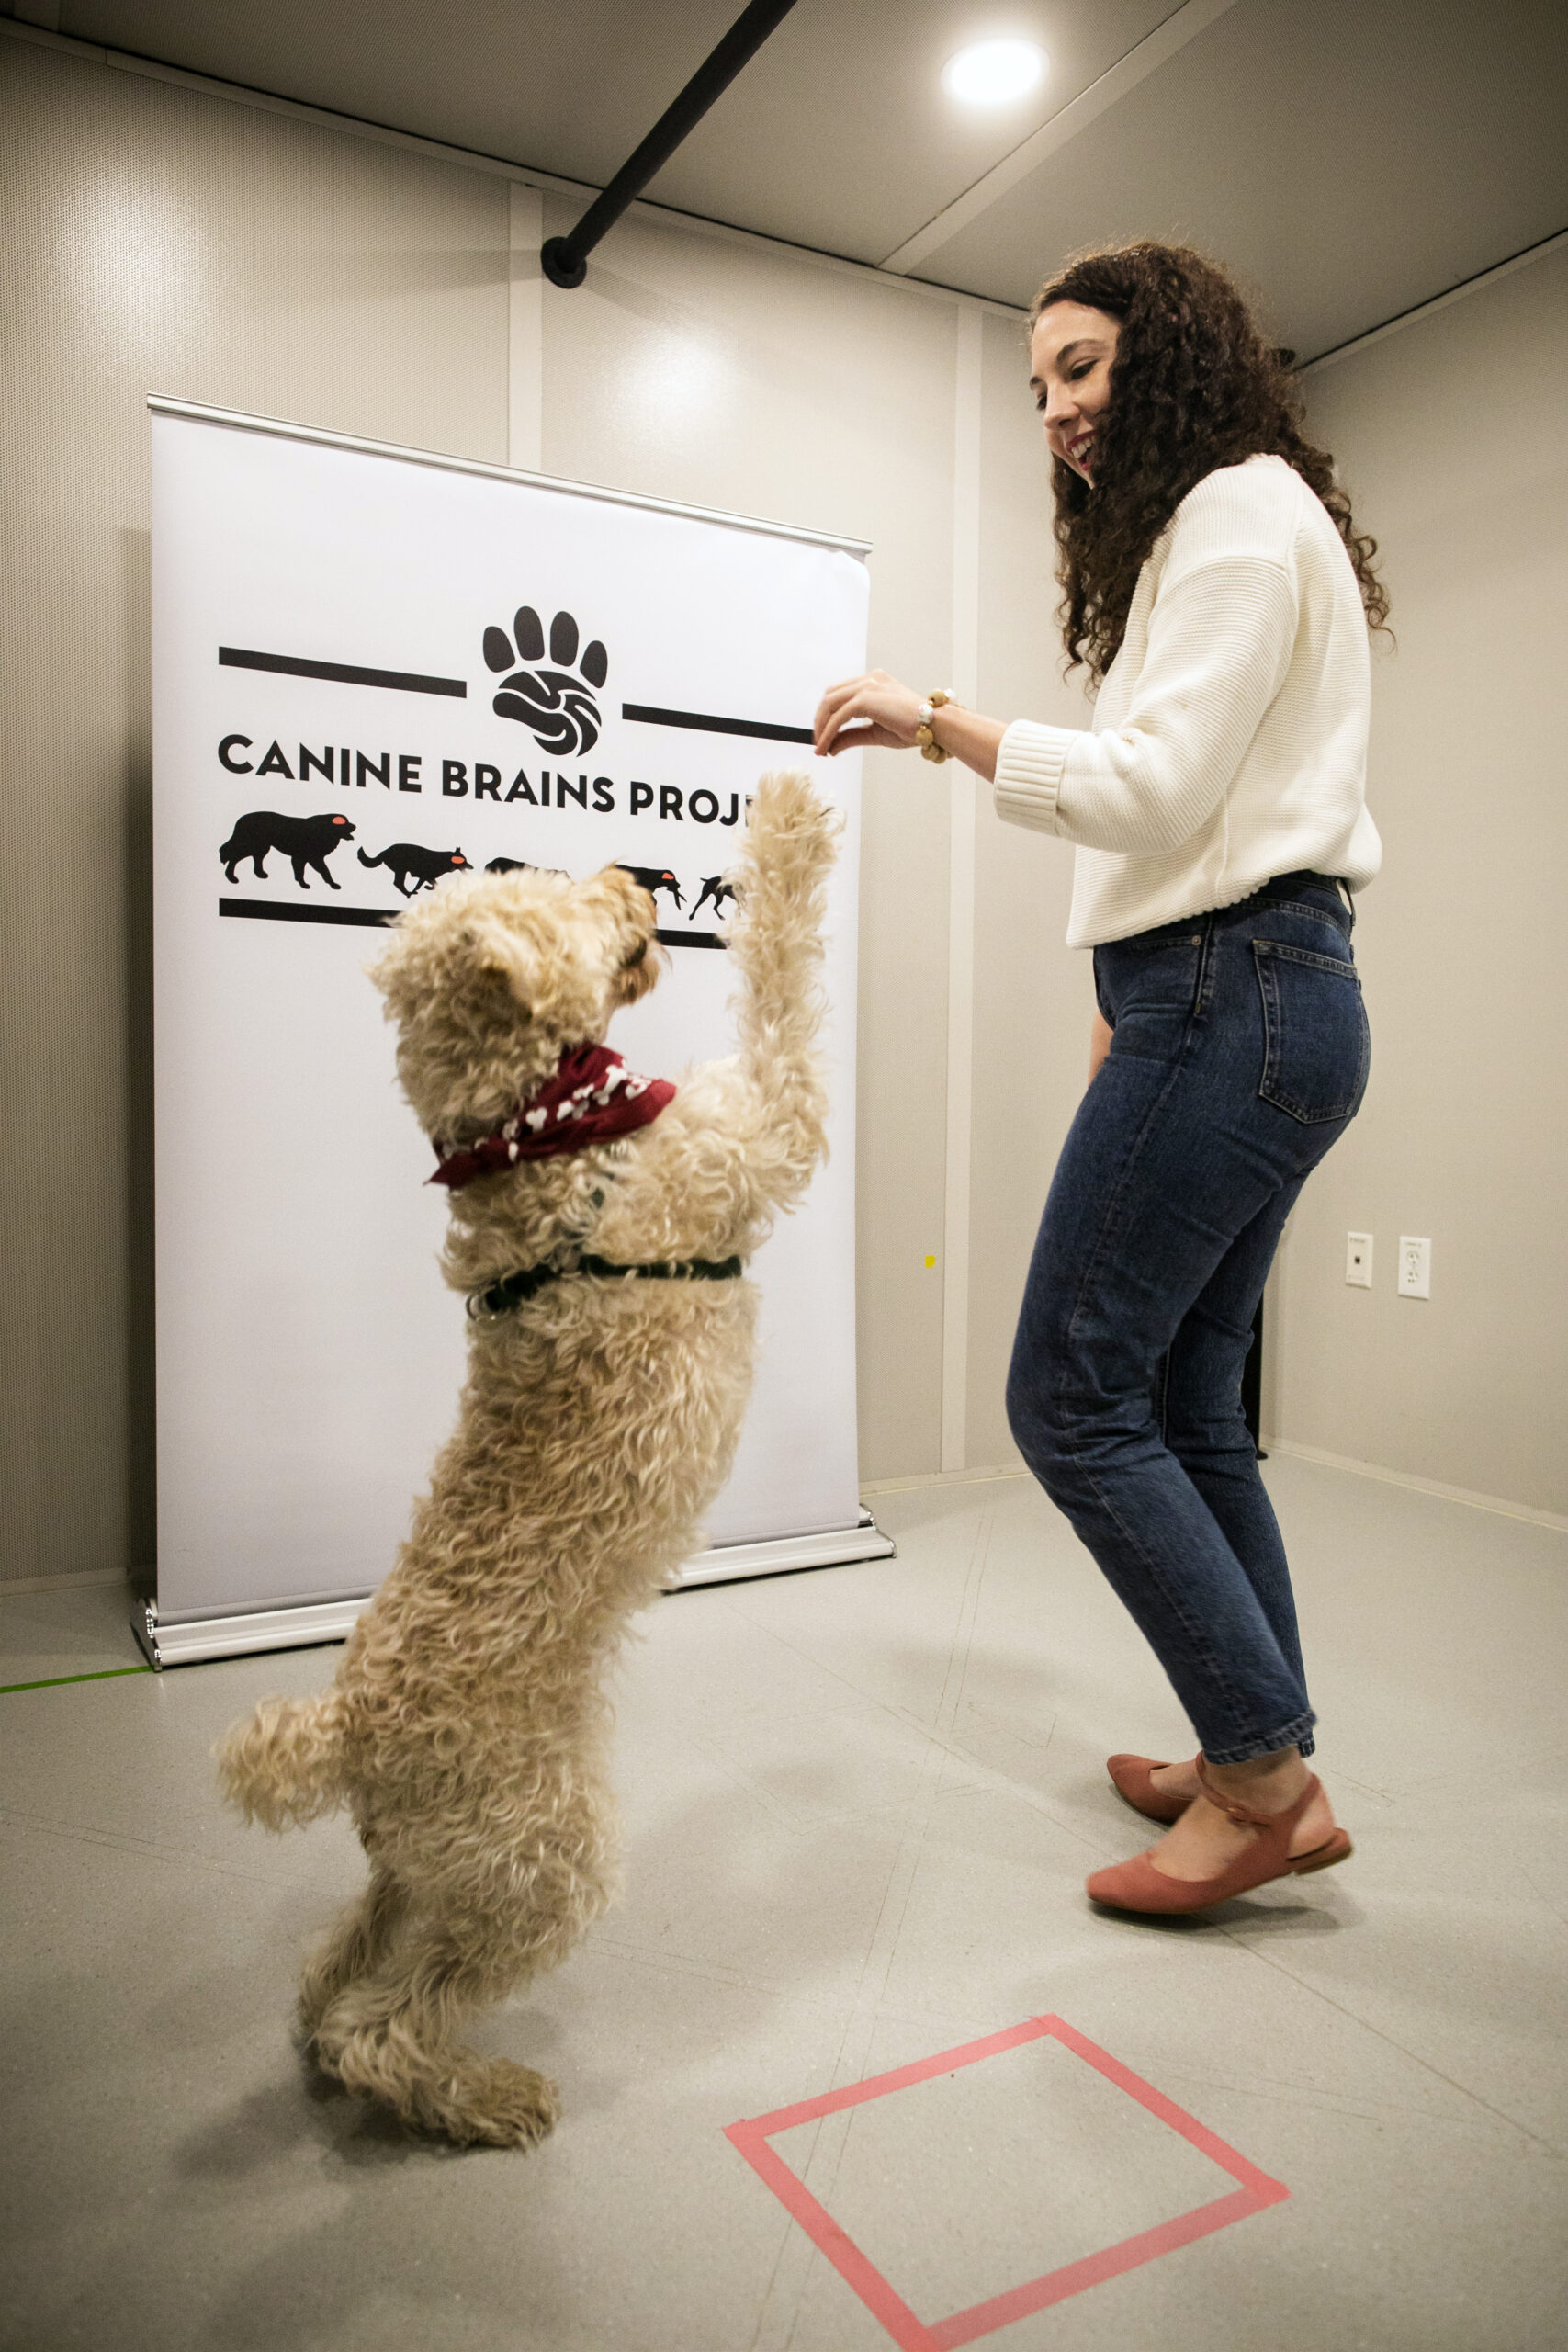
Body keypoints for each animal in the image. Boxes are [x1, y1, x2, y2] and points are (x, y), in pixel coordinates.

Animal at [217, 775, 846, 2154]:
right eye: (547, 892)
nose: (625, 876)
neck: (536, 1135)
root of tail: (345, 1728)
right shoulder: (764, 1124)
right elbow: (779, 966)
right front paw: (786, 809)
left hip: (430, 1869)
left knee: (335, 1980)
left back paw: (349, 2062)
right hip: (541, 1859)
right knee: (384, 2024)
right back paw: (489, 2099)